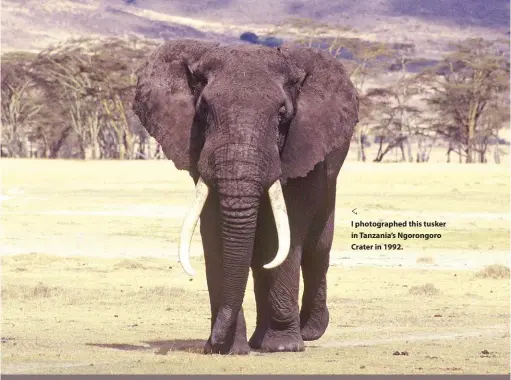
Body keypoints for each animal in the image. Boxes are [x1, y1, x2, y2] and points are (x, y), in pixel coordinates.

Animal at [133, 37, 360, 354]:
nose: (210, 344)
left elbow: (283, 234)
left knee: (316, 248)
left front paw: (283, 347)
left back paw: (309, 331)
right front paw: (229, 350)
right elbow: (215, 230)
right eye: (203, 111)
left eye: (282, 115)